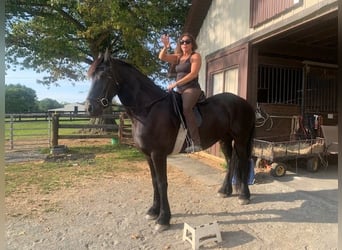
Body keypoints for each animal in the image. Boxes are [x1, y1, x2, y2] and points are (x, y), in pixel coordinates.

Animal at [85, 51, 255, 232]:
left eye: (105, 75)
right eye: (91, 76)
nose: (89, 108)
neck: (148, 110)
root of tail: (244, 103)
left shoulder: (158, 155)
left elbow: (162, 183)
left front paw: (163, 219)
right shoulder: (148, 155)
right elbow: (154, 182)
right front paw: (153, 211)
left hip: (241, 139)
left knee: (243, 162)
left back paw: (244, 195)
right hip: (225, 139)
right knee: (231, 161)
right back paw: (225, 190)